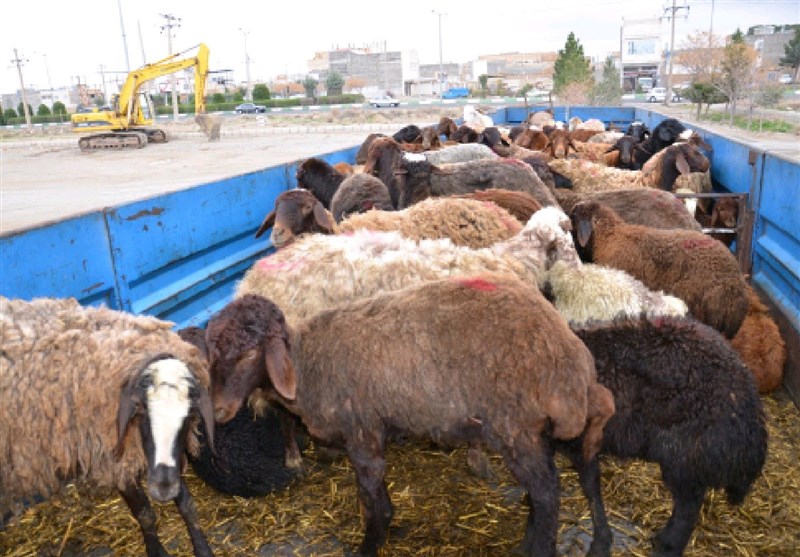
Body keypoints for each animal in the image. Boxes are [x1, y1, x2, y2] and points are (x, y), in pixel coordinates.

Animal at [0, 298, 216, 556]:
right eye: (140, 410)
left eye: (189, 416)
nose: (162, 489)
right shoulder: (114, 460)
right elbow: (145, 513)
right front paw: (155, 549)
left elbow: (187, 504)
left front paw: (202, 548)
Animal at [209, 276, 616, 556]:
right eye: (212, 354)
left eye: (250, 354)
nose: (218, 410)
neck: (307, 360)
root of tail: (570, 358)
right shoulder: (373, 430)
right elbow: (377, 493)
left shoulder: (361, 431)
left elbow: (371, 495)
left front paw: (370, 543)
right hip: (539, 429)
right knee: (582, 470)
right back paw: (595, 538)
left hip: (513, 427)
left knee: (548, 493)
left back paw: (537, 546)